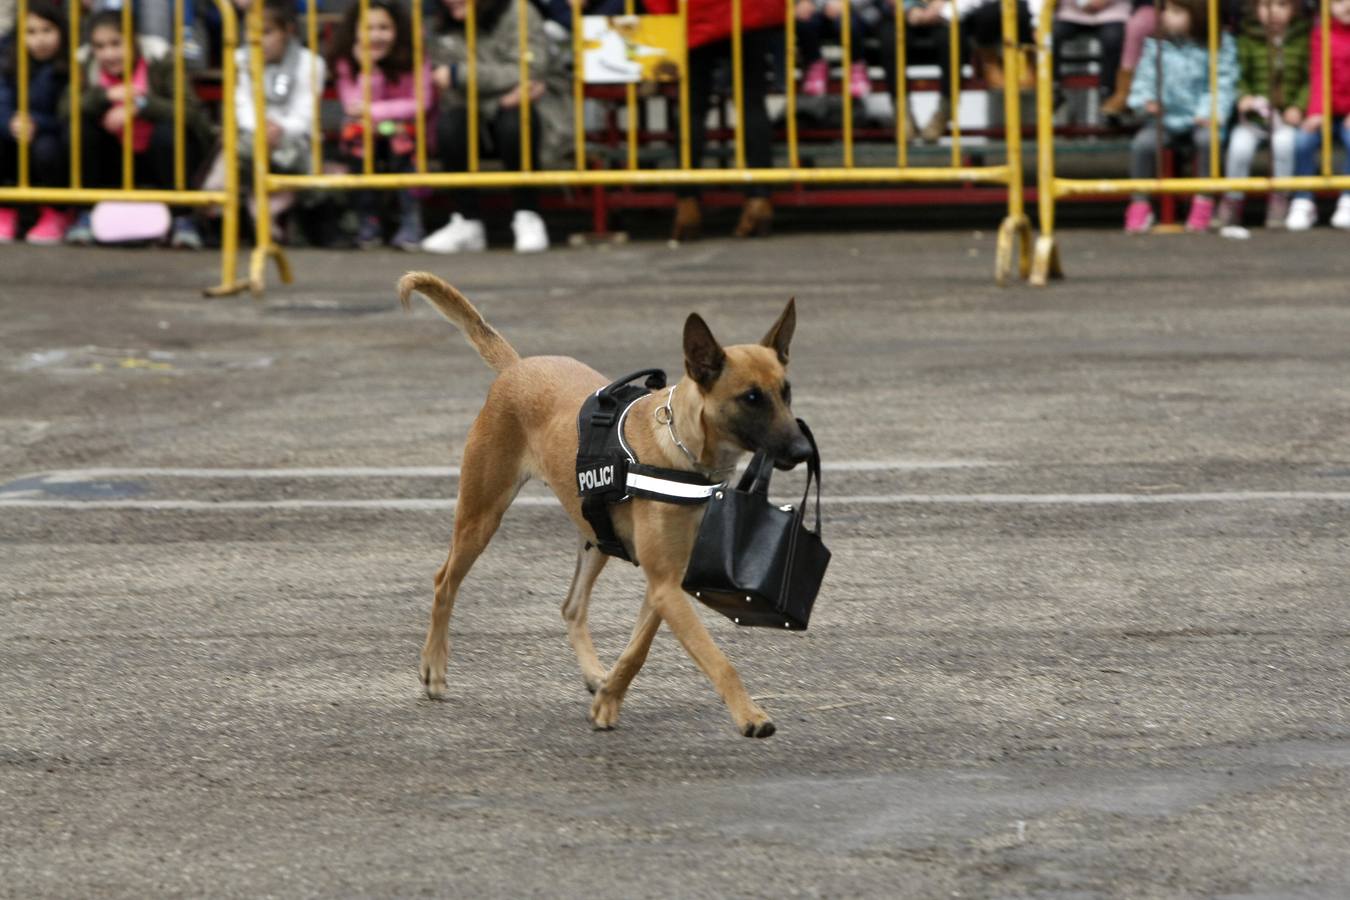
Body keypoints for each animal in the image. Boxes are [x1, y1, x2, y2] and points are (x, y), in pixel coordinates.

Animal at [394, 271, 804, 734]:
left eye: (786, 392)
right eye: (751, 398)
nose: (803, 449)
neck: (681, 449)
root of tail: (517, 366)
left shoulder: (666, 583)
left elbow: (637, 649)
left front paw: (608, 698)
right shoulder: (665, 584)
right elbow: (716, 658)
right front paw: (750, 714)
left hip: (594, 536)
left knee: (572, 606)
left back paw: (594, 675)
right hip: (481, 516)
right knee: (444, 582)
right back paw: (433, 668)